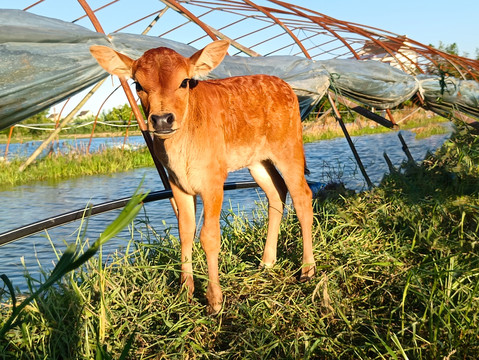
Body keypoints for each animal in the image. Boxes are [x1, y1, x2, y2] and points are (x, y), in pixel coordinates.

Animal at [89, 40, 316, 314]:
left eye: (185, 82)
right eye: (138, 85)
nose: (162, 119)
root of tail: (284, 85)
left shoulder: (213, 181)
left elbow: (209, 236)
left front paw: (214, 300)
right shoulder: (177, 184)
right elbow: (185, 232)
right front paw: (184, 291)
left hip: (289, 148)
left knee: (302, 196)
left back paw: (307, 269)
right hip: (257, 161)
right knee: (277, 193)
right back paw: (267, 261)